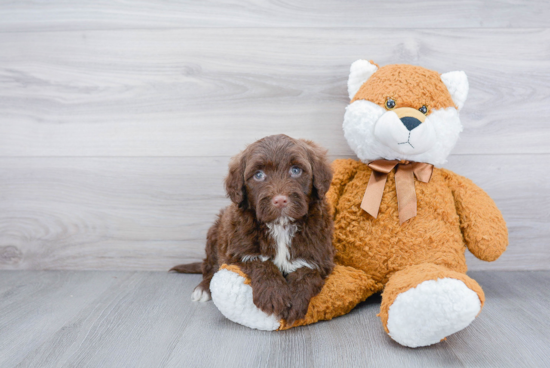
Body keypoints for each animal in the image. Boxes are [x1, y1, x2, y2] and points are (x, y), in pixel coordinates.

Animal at [172, 134, 336, 322]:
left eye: (296, 170)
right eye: (258, 175)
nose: (280, 200)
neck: (280, 226)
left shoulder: (320, 254)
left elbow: (307, 272)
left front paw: (295, 300)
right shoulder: (237, 251)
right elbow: (260, 263)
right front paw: (274, 295)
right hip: (215, 236)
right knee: (210, 268)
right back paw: (203, 288)